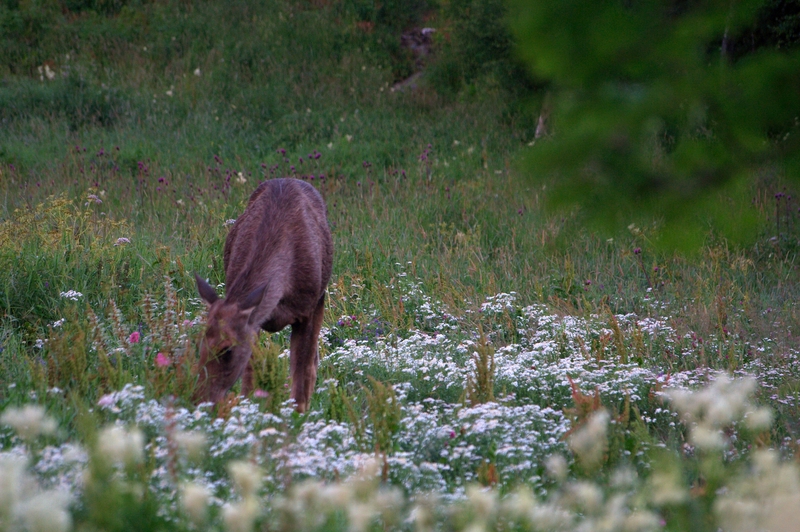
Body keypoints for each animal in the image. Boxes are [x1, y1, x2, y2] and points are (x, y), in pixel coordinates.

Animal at [193, 178, 333, 413]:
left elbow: (301, 375)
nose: (200, 400)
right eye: (200, 344)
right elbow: (251, 374)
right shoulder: (254, 322)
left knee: (312, 363)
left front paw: (297, 415)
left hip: (320, 297)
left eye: (227, 349)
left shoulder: (308, 309)